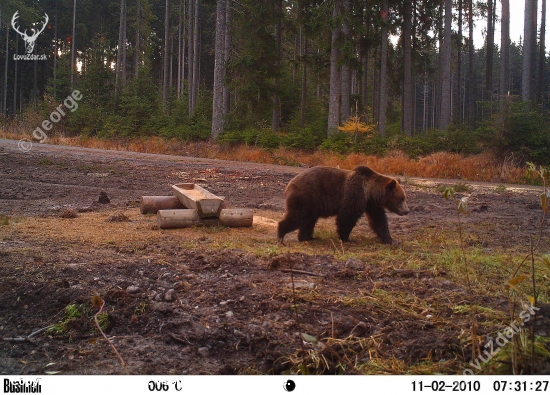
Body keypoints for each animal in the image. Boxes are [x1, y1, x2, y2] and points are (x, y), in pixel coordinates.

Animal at [278, 165, 412, 244]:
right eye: (401, 198)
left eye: (404, 197)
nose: (407, 211)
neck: (370, 192)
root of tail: (289, 184)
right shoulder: (355, 195)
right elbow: (347, 217)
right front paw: (347, 238)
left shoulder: (372, 204)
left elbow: (378, 221)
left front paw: (391, 240)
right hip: (306, 197)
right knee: (298, 216)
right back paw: (281, 234)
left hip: (312, 204)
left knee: (308, 220)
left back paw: (307, 237)